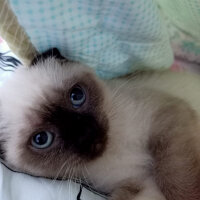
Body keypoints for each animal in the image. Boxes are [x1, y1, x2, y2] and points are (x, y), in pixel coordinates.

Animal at [0, 48, 200, 200]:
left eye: (77, 96)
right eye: (41, 139)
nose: (86, 133)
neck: (115, 151)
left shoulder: (165, 119)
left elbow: (176, 178)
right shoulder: (139, 184)